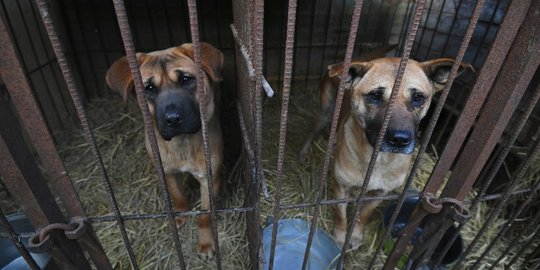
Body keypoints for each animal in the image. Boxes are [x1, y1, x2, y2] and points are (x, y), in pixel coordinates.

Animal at [105, 42, 224, 258]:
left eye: (186, 79)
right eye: (149, 88)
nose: (173, 119)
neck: (182, 143)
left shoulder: (209, 179)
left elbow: (204, 216)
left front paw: (205, 242)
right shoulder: (166, 172)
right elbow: (178, 196)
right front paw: (180, 216)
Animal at [298, 56, 470, 249]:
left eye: (418, 97)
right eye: (374, 96)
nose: (400, 140)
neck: (378, 159)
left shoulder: (379, 195)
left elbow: (363, 215)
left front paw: (355, 235)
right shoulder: (341, 189)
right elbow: (340, 216)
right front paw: (340, 238)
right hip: (325, 113)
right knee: (312, 131)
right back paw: (304, 152)